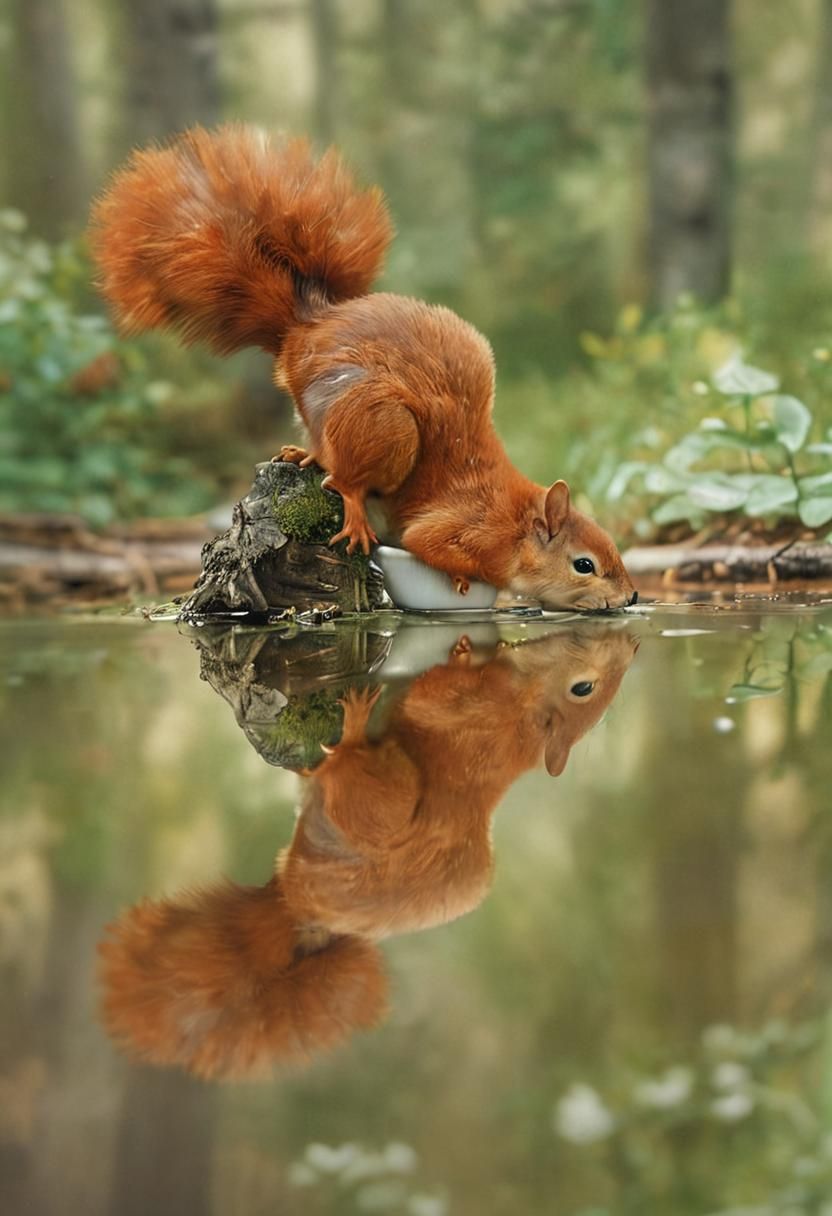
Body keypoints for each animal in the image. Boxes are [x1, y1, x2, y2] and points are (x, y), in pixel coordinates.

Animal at [90, 124, 637, 611]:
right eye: (584, 564)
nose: (632, 596)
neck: (512, 520)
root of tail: (307, 329)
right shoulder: (459, 525)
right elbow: (427, 543)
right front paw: (462, 579)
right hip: (383, 422)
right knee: (347, 477)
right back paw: (351, 505)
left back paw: (306, 454)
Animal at [98, 624, 637, 1079]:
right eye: (585, 689)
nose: (631, 644)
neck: (522, 713)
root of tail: (298, 902)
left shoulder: (468, 712)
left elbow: (433, 694)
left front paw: (462, 652)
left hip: (391, 786)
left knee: (344, 773)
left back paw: (353, 727)